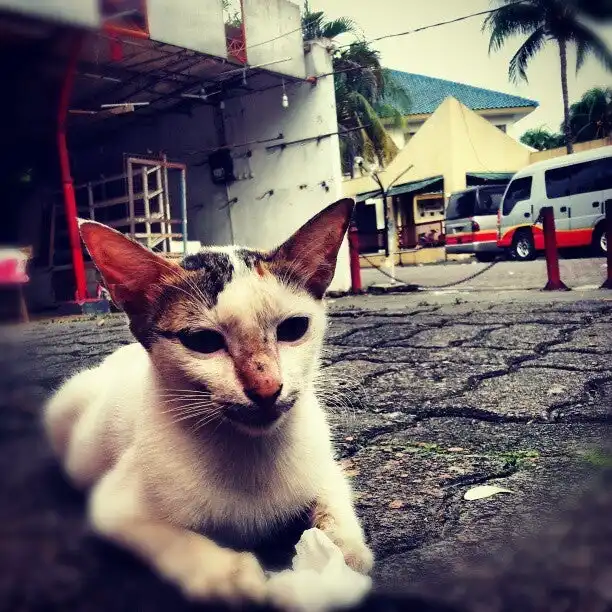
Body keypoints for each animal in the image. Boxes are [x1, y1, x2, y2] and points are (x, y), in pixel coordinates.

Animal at [43, 198, 372, 604]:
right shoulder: (114, 506)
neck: (250, 452)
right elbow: (171, 539)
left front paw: (342, 550)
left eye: (294, 328)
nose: (266, 387)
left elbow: (334, 495)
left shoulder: (322, 465)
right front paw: (227, 574)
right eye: (202, 341)